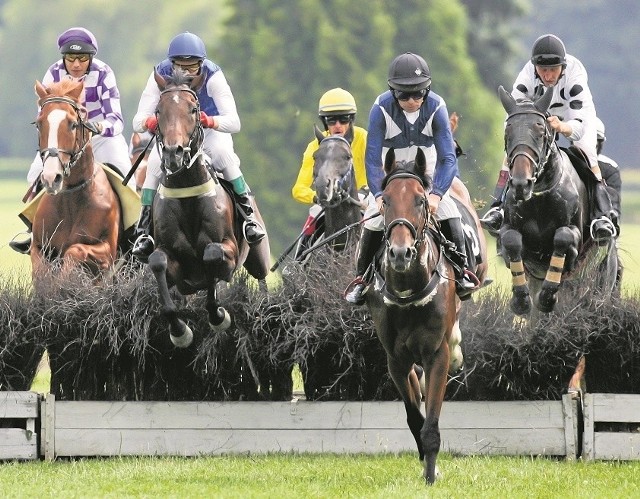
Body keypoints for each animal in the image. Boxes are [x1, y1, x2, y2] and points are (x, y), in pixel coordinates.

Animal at [364, 147, 480, 484]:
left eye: (420, 200)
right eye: (386, 200)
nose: (400, 253)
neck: (407, 290)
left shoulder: (436, 353)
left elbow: (431, 422)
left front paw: (431, 475)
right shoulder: (395, 358)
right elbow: (415, 417)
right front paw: (426, 464)